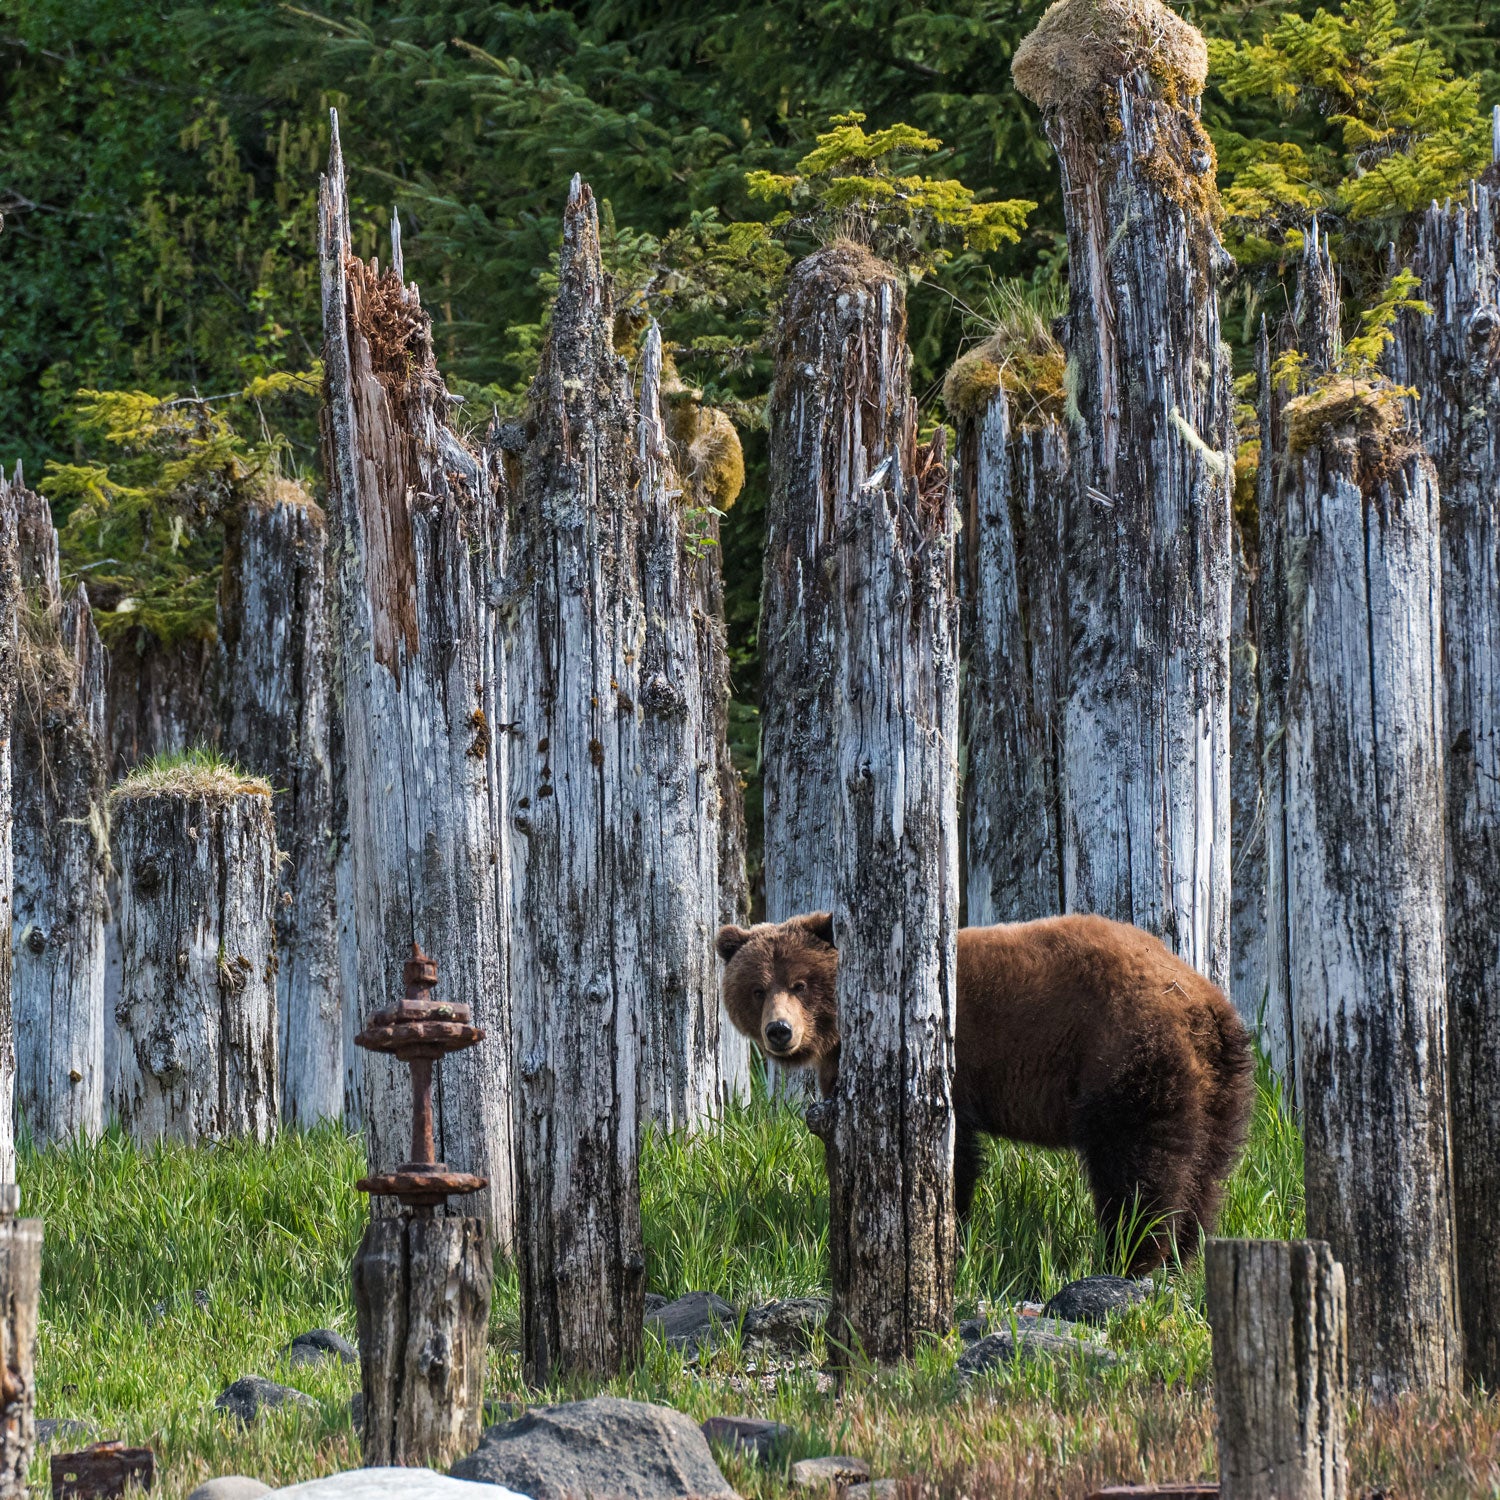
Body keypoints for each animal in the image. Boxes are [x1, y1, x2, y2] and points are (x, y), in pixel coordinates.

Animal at [714, 906, 1254, 1272]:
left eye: (800, 984)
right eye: (757, 988)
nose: (779, 1031)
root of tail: (1202, 1002)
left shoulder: (945, 1061)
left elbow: (949, 1152)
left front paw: (945, 1224)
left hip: (1128, 1055)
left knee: (1138, 1167)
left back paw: (1133, 1255)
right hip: (1219, 1085)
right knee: (1205, 1170)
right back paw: (1184, 1252)